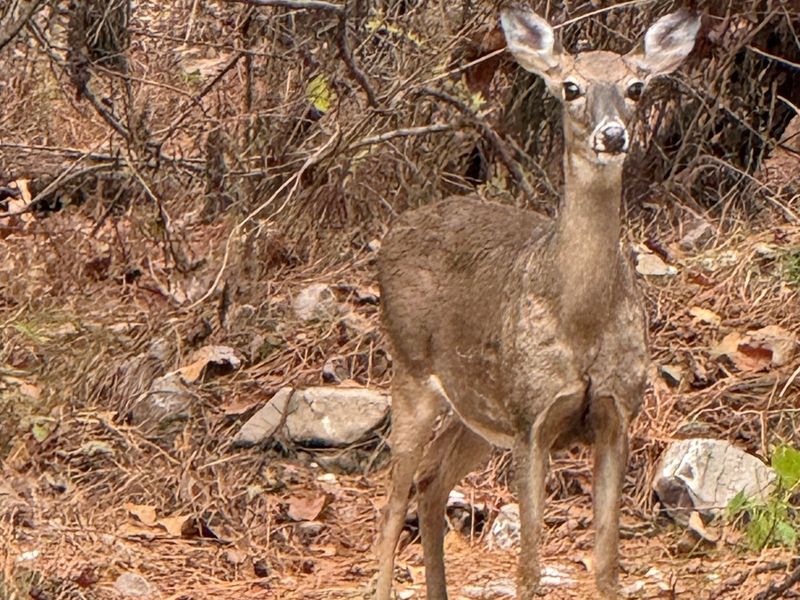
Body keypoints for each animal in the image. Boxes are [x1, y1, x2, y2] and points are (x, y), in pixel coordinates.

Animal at [374, 6, 700, 600]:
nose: (612, 134)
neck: (582, 320)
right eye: (570, 87)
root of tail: (393, 231)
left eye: (636, 87)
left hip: (479, 410)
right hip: (410, 369)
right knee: (390, 508)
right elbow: (528, 568)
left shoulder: (617, 415)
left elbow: (607, 564)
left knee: (431, 483)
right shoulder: (533, 419)